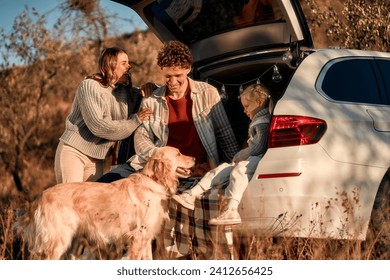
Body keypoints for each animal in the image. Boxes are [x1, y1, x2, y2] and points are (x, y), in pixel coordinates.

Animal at [15, 147, 195, 260]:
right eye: (178, 153)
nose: (194, 157)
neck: (153, 181)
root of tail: (40, 197)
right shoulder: (138, 237)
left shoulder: (146, 237)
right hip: (57, 241)